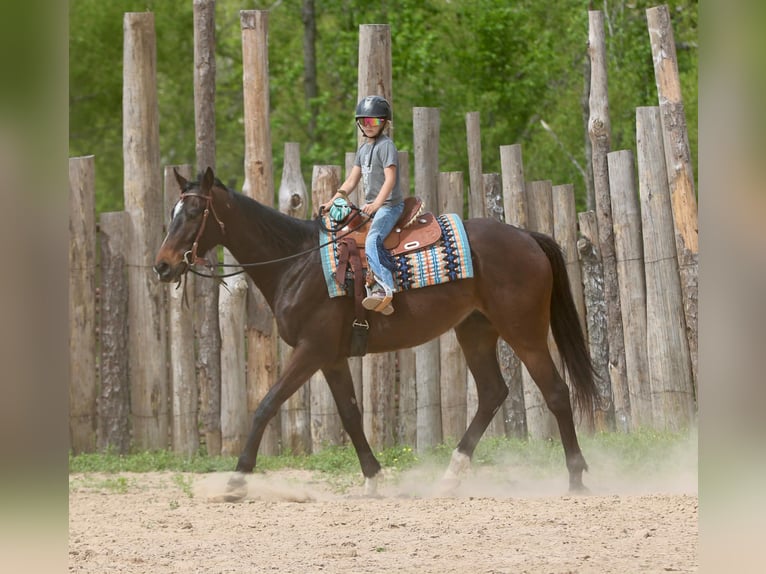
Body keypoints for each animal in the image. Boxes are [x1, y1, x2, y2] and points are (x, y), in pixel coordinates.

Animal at [154, 167, 597, 498]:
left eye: (193, 213)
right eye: (173, 211)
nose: (162, 266)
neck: (297, 264)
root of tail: (527, 237)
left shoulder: (310, 351)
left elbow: (266, 405)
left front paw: (237, 478)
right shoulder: (331, 359)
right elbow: (350, 414)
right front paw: (374, 478)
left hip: (524, 332)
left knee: (556, 392)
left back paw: (577, 477)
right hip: (475, 332)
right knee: (492, 393)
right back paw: (450, 477)